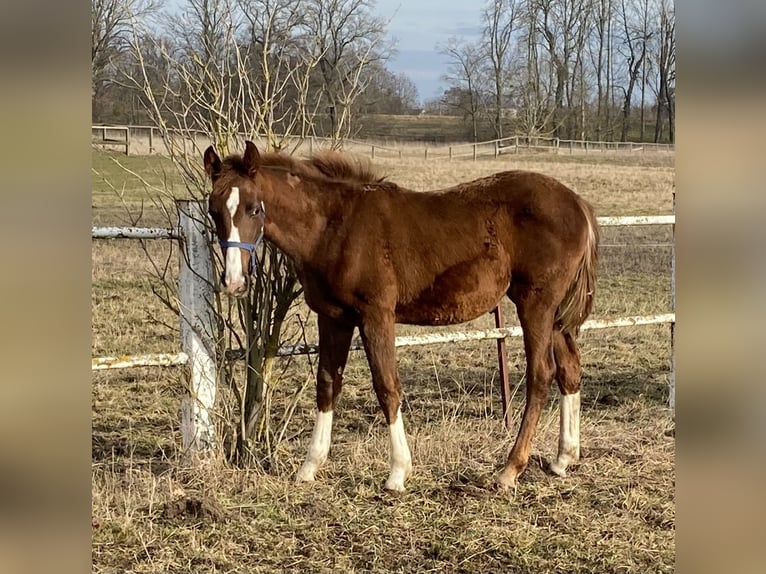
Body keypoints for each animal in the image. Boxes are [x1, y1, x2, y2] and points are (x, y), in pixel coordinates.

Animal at [203, 141, 598, 492]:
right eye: (213, 211)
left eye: (254, 208)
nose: (234, 282)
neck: (335, 226)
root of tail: (577, 203)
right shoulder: (333, 318)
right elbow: (328, 384)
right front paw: (309, 467)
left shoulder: (376, 315)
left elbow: (387, 386)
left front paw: (397, 473)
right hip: (556, 314)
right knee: (570, 369)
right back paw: (563, 459)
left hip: (536, 304)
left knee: (541, 374)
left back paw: (510, 469)